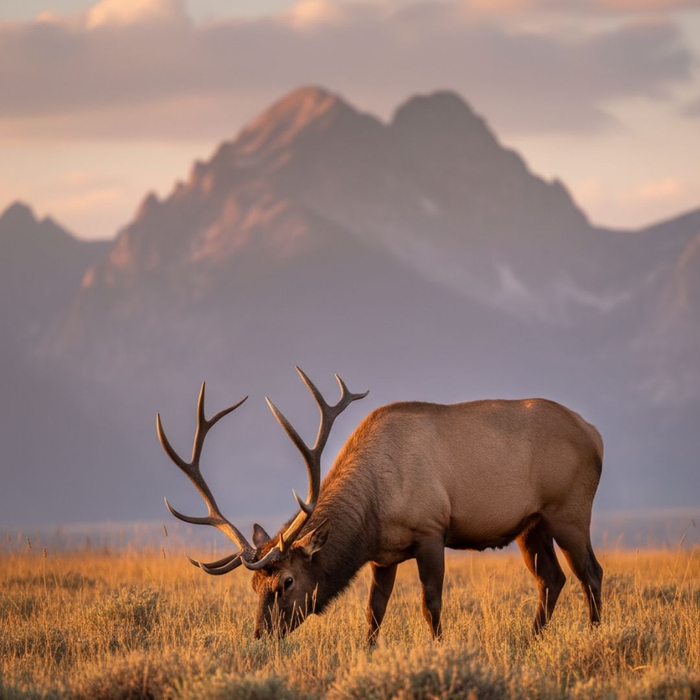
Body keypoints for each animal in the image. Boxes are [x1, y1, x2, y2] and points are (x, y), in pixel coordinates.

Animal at [157, 367, 604, 643]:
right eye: (254, 586)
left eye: (286, 582)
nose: (260, 637)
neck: (372, 512)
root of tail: (596, 435)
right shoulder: (383, 555)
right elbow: (374, 613)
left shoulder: (430, 531)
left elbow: (430, 604)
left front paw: (441, 649)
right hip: (532, 524)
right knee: (552, 579)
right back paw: (531, 641)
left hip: (569, 512)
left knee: (590, 574)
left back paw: (594, 635)